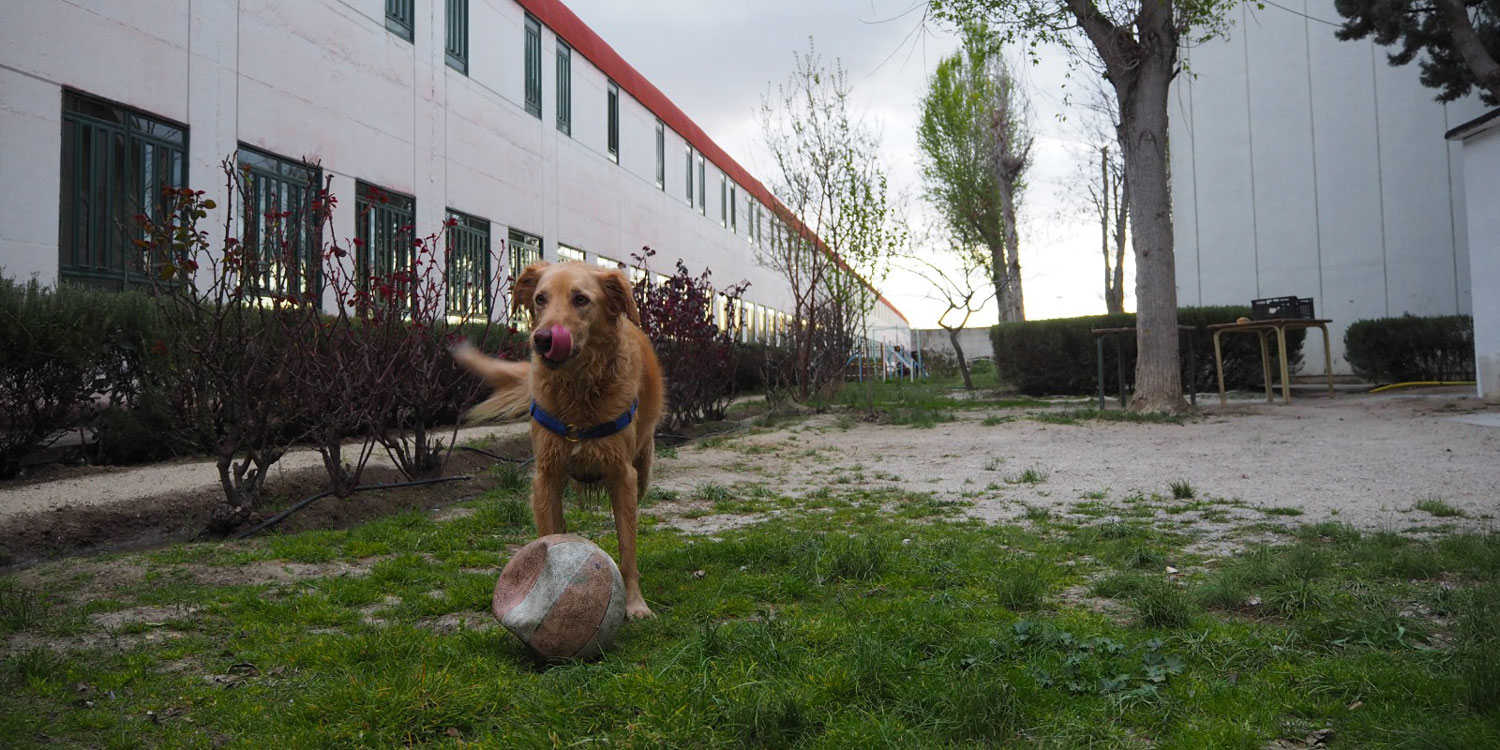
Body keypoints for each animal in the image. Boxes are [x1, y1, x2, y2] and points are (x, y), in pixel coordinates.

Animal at [450, 261, 663, 618]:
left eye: (581, 299)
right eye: (540, 299)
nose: (543, 339)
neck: (578, 388)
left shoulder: (623, 475)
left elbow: (627, 544)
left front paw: (635, 604)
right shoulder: (546, 476)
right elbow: (549, 536)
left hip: (643, 468)